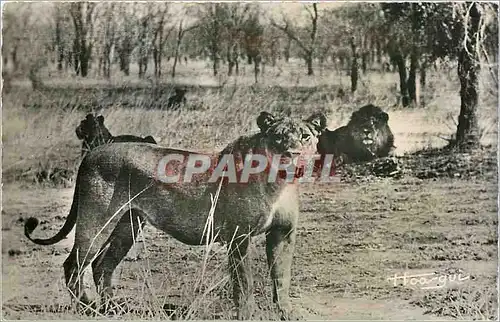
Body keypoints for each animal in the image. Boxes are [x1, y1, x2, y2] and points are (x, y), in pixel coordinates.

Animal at [25, 110, 326, 320]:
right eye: (278, 137)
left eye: (305, 136)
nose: (292, 154)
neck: (279, 184)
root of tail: (92, 153)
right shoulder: (238, 237)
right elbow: (244, 284)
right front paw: (246, 316)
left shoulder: (283, 235)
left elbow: (281, 278)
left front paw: (287, 314)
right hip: (98, 220)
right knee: (74, 264)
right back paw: (89, 309)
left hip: (128, 225)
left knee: (102, 265)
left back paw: (111, 308)